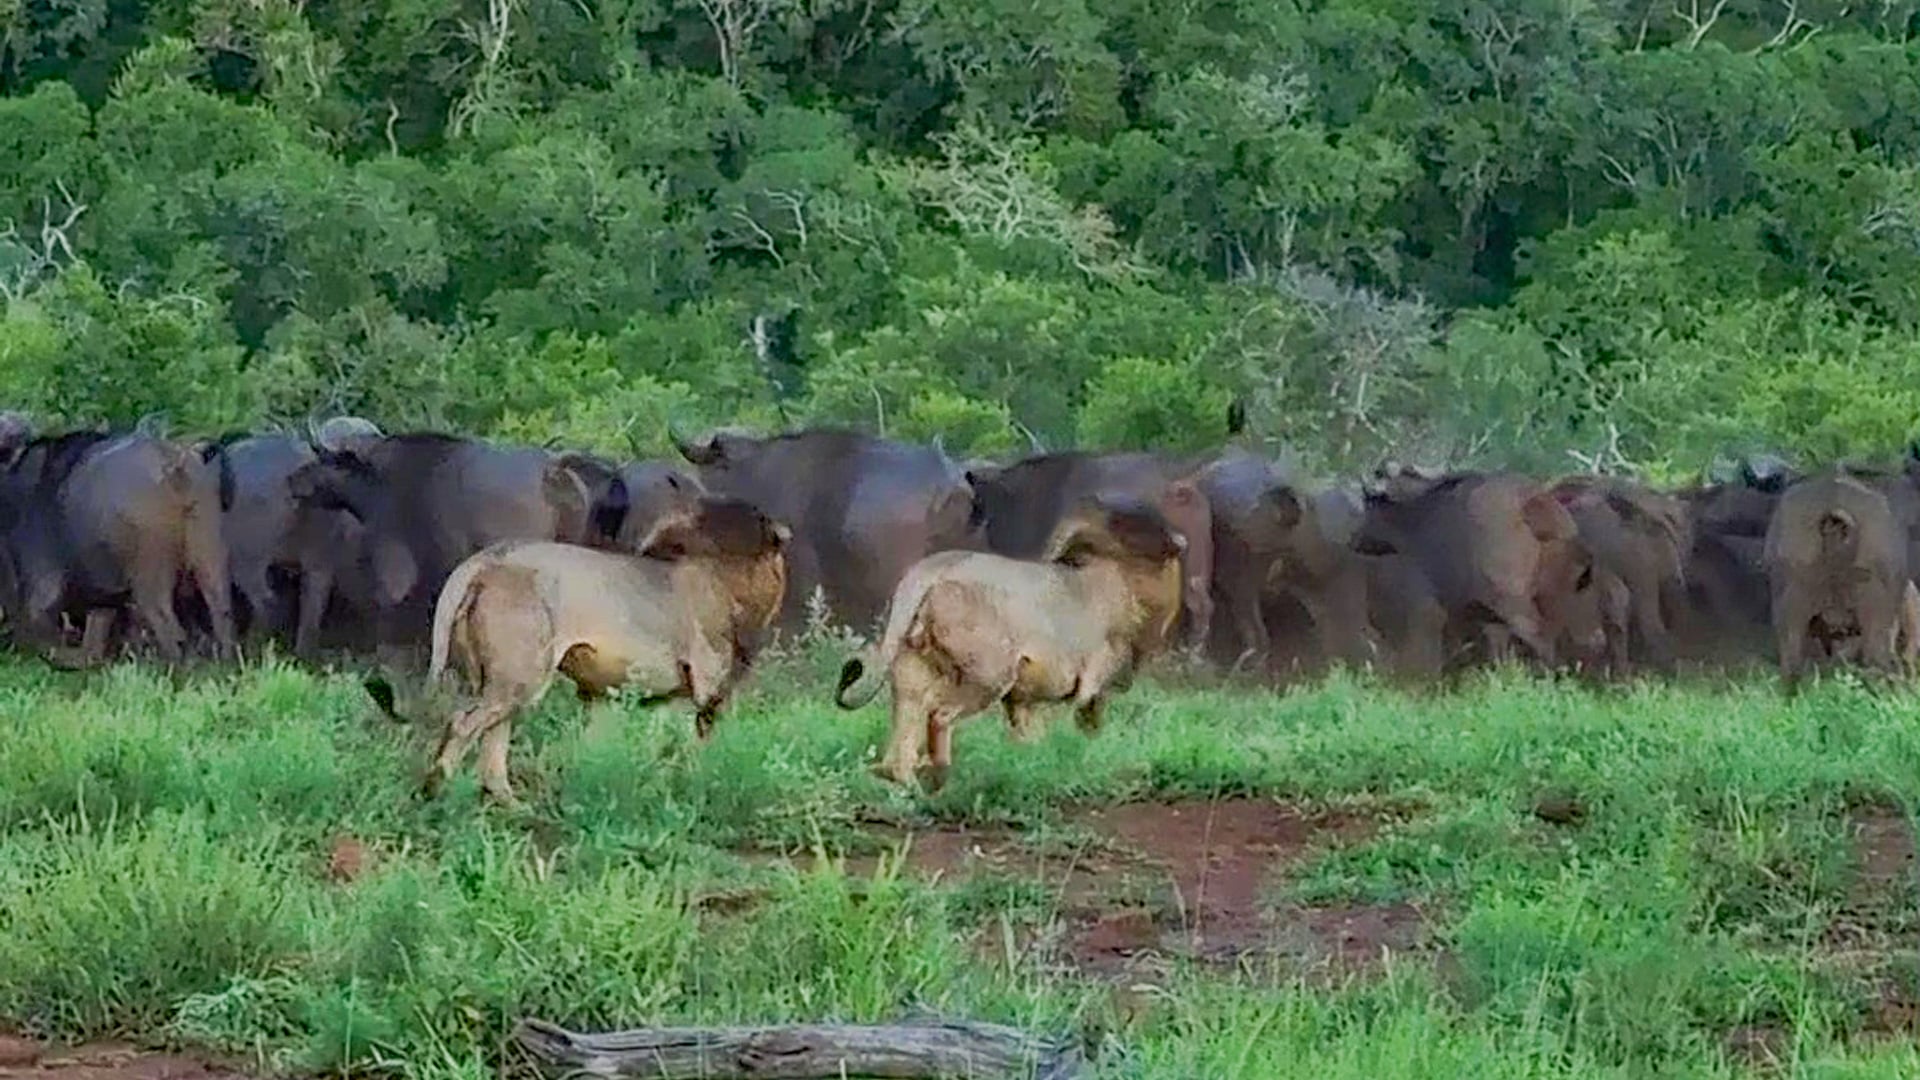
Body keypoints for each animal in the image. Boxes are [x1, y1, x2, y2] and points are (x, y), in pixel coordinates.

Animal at [367, 495, 790, 808]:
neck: (726, 578)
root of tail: (485, 562)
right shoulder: (708, 682)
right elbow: (697, 746)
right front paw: (695, 788)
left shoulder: (641, 695)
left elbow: (643, 744)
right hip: (523, 672)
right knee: (463, 723)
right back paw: (435, 791)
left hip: (495, 676)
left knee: (493, 732)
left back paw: (510, 803)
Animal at [833, 495, 1188, 789]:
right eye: (1136, 528)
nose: (1179, 542)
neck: (1124, 582)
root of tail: (930, 571)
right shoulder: (1095, 685)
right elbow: (1089, 729)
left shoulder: (1022, 700)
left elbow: (1031, 738)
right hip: (987, 678)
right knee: (938, 715)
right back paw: (940, 776)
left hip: (912, 676)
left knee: (902, 736)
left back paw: (907, 784)